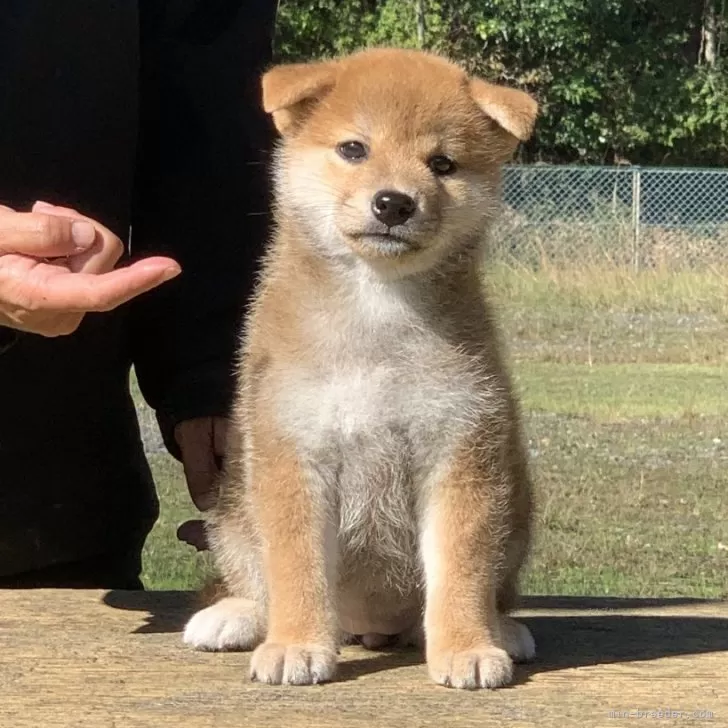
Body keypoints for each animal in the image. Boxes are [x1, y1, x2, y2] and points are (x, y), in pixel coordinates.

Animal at [183, 48, 536, 692]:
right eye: (353, 149)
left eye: (442, 163)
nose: (394, 202)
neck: (377, 311)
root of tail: (370, 626)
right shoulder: (294, 452)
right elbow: (296, 567)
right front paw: (296, 644)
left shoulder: (460, 450)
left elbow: (462, 572)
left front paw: (468, 647)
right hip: (234, 510)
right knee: (254, 578)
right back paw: (235, 616)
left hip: (517, 507)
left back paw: (502, 629)